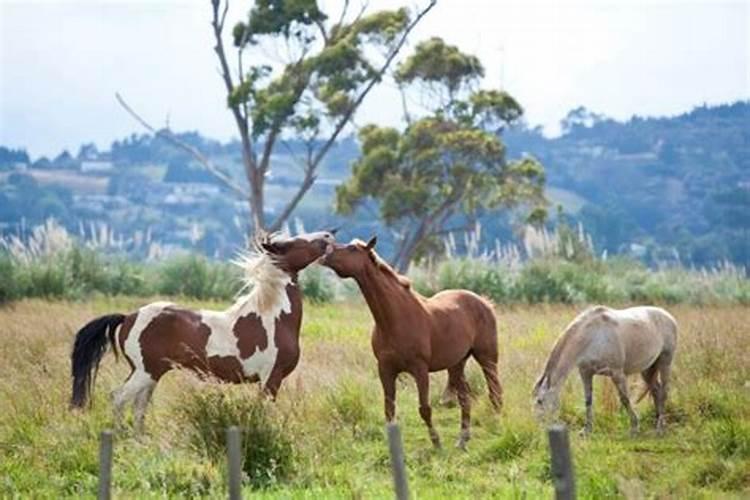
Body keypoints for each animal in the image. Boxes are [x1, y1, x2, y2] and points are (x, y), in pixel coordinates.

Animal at [71, 230, 338, 430]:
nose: (329, 235)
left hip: (152, 374)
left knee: (138, 407)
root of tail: (128, 317)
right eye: (293, 242)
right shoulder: (270, 378)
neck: (272, 318)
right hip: (144, 372)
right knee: (118, 398)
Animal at [320, 236, 502, 452]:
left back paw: (497, 425)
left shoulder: (420, 370)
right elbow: (389, 410)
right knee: (465, 399)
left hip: (487, 358)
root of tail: (484, 302)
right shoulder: (385, 370)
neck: (394, 319)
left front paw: (437, 443)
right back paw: (462, 440)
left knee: (495, 392)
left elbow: (425, 409)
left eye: (352, 249)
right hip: (456, 365)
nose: (324, 252)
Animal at [536, 302, 680, 436]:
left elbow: (625, 399)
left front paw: (634, 427)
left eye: (540, 401)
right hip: (647, 368)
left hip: (665, 361)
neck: (593, 336)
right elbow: (588, 400)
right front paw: (587, 430)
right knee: (656, 390)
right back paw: (658, 424)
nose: (539, 427)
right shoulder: (586, 373)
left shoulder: (617, 373)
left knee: (664, 391)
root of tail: (668, 316)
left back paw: (660, 428)